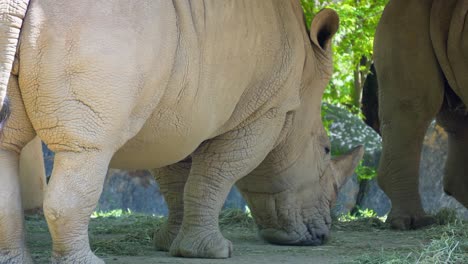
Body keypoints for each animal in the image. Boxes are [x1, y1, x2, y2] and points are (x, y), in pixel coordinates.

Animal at [0, 1, 362, 262]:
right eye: (326, 149)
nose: (321, 235)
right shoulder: (263, 111)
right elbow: (215, 175)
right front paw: (214, 252)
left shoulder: (174, 110)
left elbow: (177, 180)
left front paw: (168, 244)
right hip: (97, 30)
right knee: (88, 149)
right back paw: (88, 262)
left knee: (8, 146)